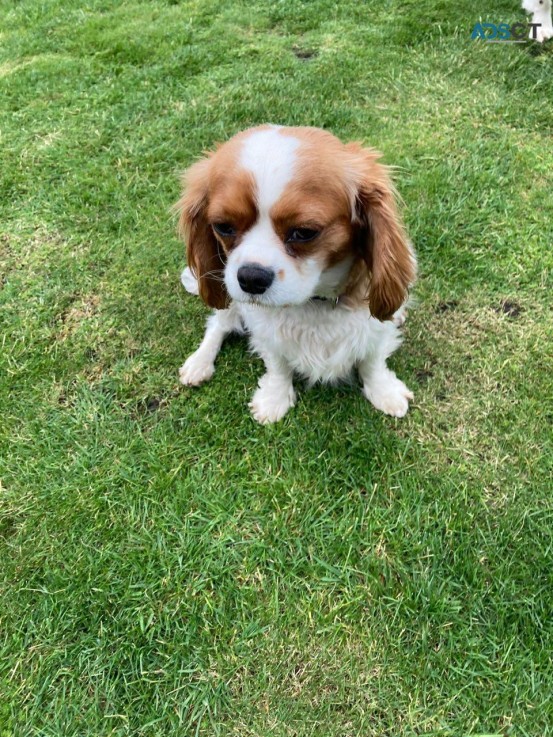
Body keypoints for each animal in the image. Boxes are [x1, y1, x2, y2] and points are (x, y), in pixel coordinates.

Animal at [176, 126, 414, 422]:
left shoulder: (375, 329)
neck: (314, 303)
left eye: (304, 232)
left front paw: (383, 392)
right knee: (218, 325)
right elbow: (277, 364)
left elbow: (372, 361)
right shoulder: (265, 332)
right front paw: (274, 398)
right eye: (223, 227)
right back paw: (200, 362)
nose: (251, 277)